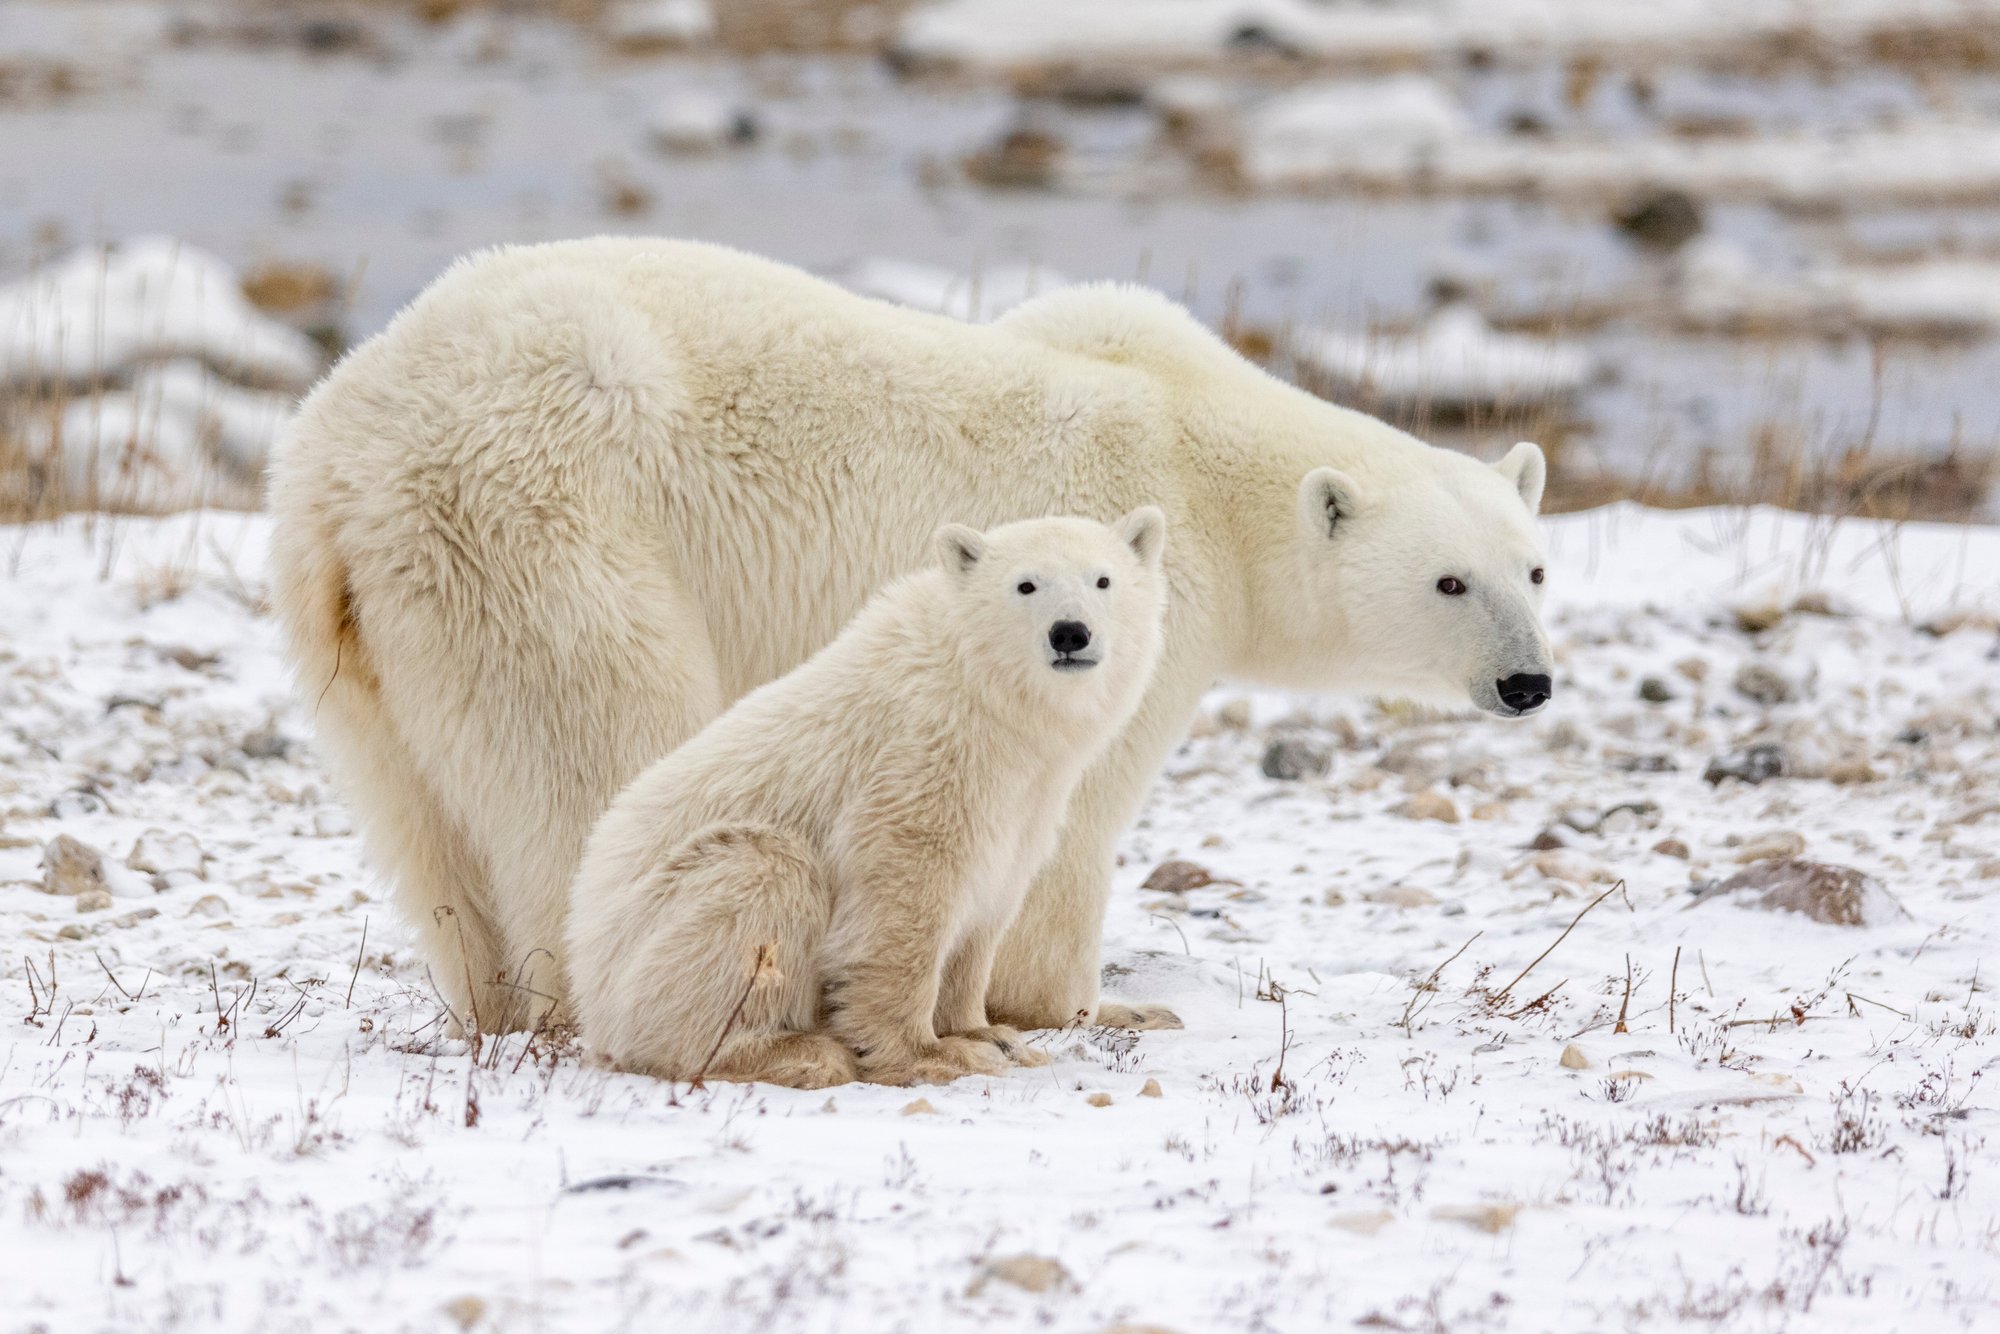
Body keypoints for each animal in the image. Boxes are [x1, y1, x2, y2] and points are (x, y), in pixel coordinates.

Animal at [567, 509, 1168, 1088]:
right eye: (1026, 584)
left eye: (1103, 579)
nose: (1070, 633)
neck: (982, 697)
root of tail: (584, 968)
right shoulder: (917, 762)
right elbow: (901, 903)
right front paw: (932, 1054)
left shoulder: (1026, 798)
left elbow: (985, 909)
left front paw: (989, 1035)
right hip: (658, 926)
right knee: (763, 876)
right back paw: (795, 1052)